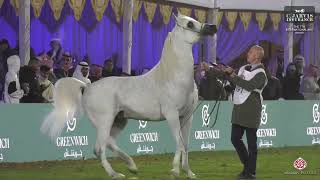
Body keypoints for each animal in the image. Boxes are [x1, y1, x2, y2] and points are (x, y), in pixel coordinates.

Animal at [41, 13, 216, 179]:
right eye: (190, 24)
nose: (213, 27)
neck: (173, 77)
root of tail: (87, 87)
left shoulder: (187, 116)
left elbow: (185, 145)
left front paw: (189, 173)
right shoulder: (172, 114)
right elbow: (179, 143)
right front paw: (174, 171)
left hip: (119, 121)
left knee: (108, 143)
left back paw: (131, 166)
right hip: (105, 121)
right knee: (100, 148)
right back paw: (116, 174)